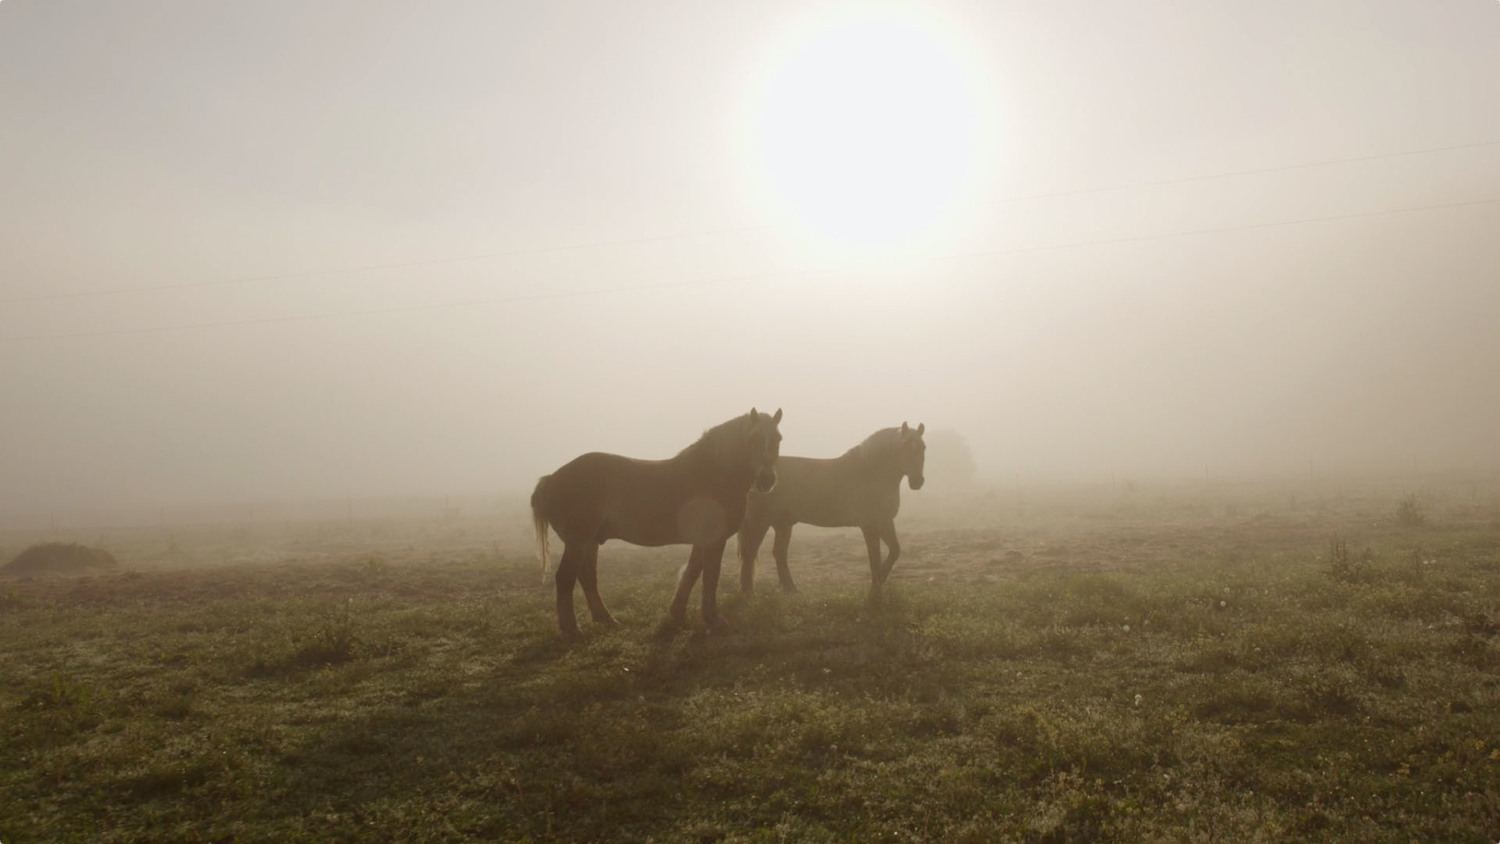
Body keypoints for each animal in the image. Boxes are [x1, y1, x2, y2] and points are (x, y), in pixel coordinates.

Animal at [531, 404, 786, 638]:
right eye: (753, 439)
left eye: (778, 439)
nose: (767, 479)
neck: (712, 474)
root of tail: (551, 478)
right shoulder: (714, 540)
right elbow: (710, 576)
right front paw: (713, 619)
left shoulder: (702, 541)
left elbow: (692, 572)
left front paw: (678, 613)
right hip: (578, 541)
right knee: (565, 578)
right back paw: (572, 630)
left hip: (590, 541)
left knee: (587, 577)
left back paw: (606, 619)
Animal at [738, 422, 924, 593]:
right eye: (904, 447)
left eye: (923, 447)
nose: (917, 481)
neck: (870, 473)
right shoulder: (869, 525)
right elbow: (874, 557)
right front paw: (875, 589)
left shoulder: (885, 521)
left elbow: (894, 551)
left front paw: (879, 582)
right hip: (760, 521)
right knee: (750, 553)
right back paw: (749, 593)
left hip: (782, 524)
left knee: (779, 554)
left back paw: (792, 590)